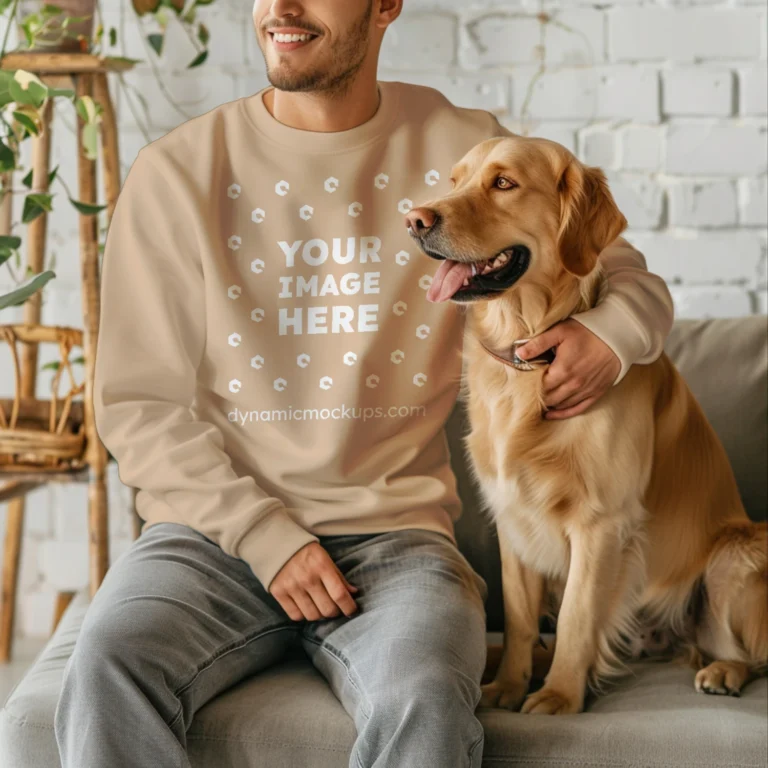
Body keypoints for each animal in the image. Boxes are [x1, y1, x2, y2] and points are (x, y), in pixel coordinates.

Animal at [404, 135, 764, 716]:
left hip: (736, 554)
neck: (529, 353)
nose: (415, 220)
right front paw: (508, 686)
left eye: (503, 183)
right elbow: (521, 617)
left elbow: (576, 615)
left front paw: (558, 697)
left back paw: (722, 670)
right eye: (454, 180)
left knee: (746, 650)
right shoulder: (513, 516)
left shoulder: (601, 523)